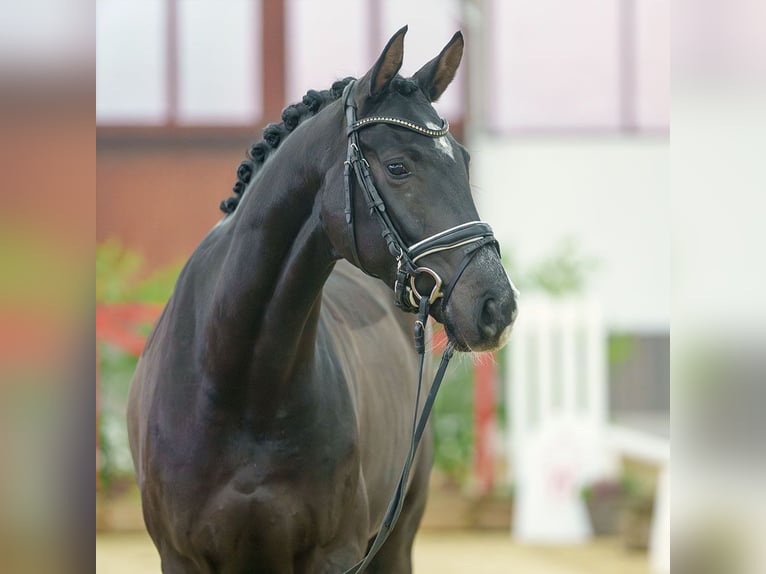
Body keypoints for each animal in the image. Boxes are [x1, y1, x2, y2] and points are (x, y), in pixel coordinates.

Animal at [129, 28, 520, 574]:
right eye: (397, 167)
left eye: (463, 162)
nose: (496, 306)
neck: (243, 385)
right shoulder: (181, 557)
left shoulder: (336, 554)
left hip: (396, 540)